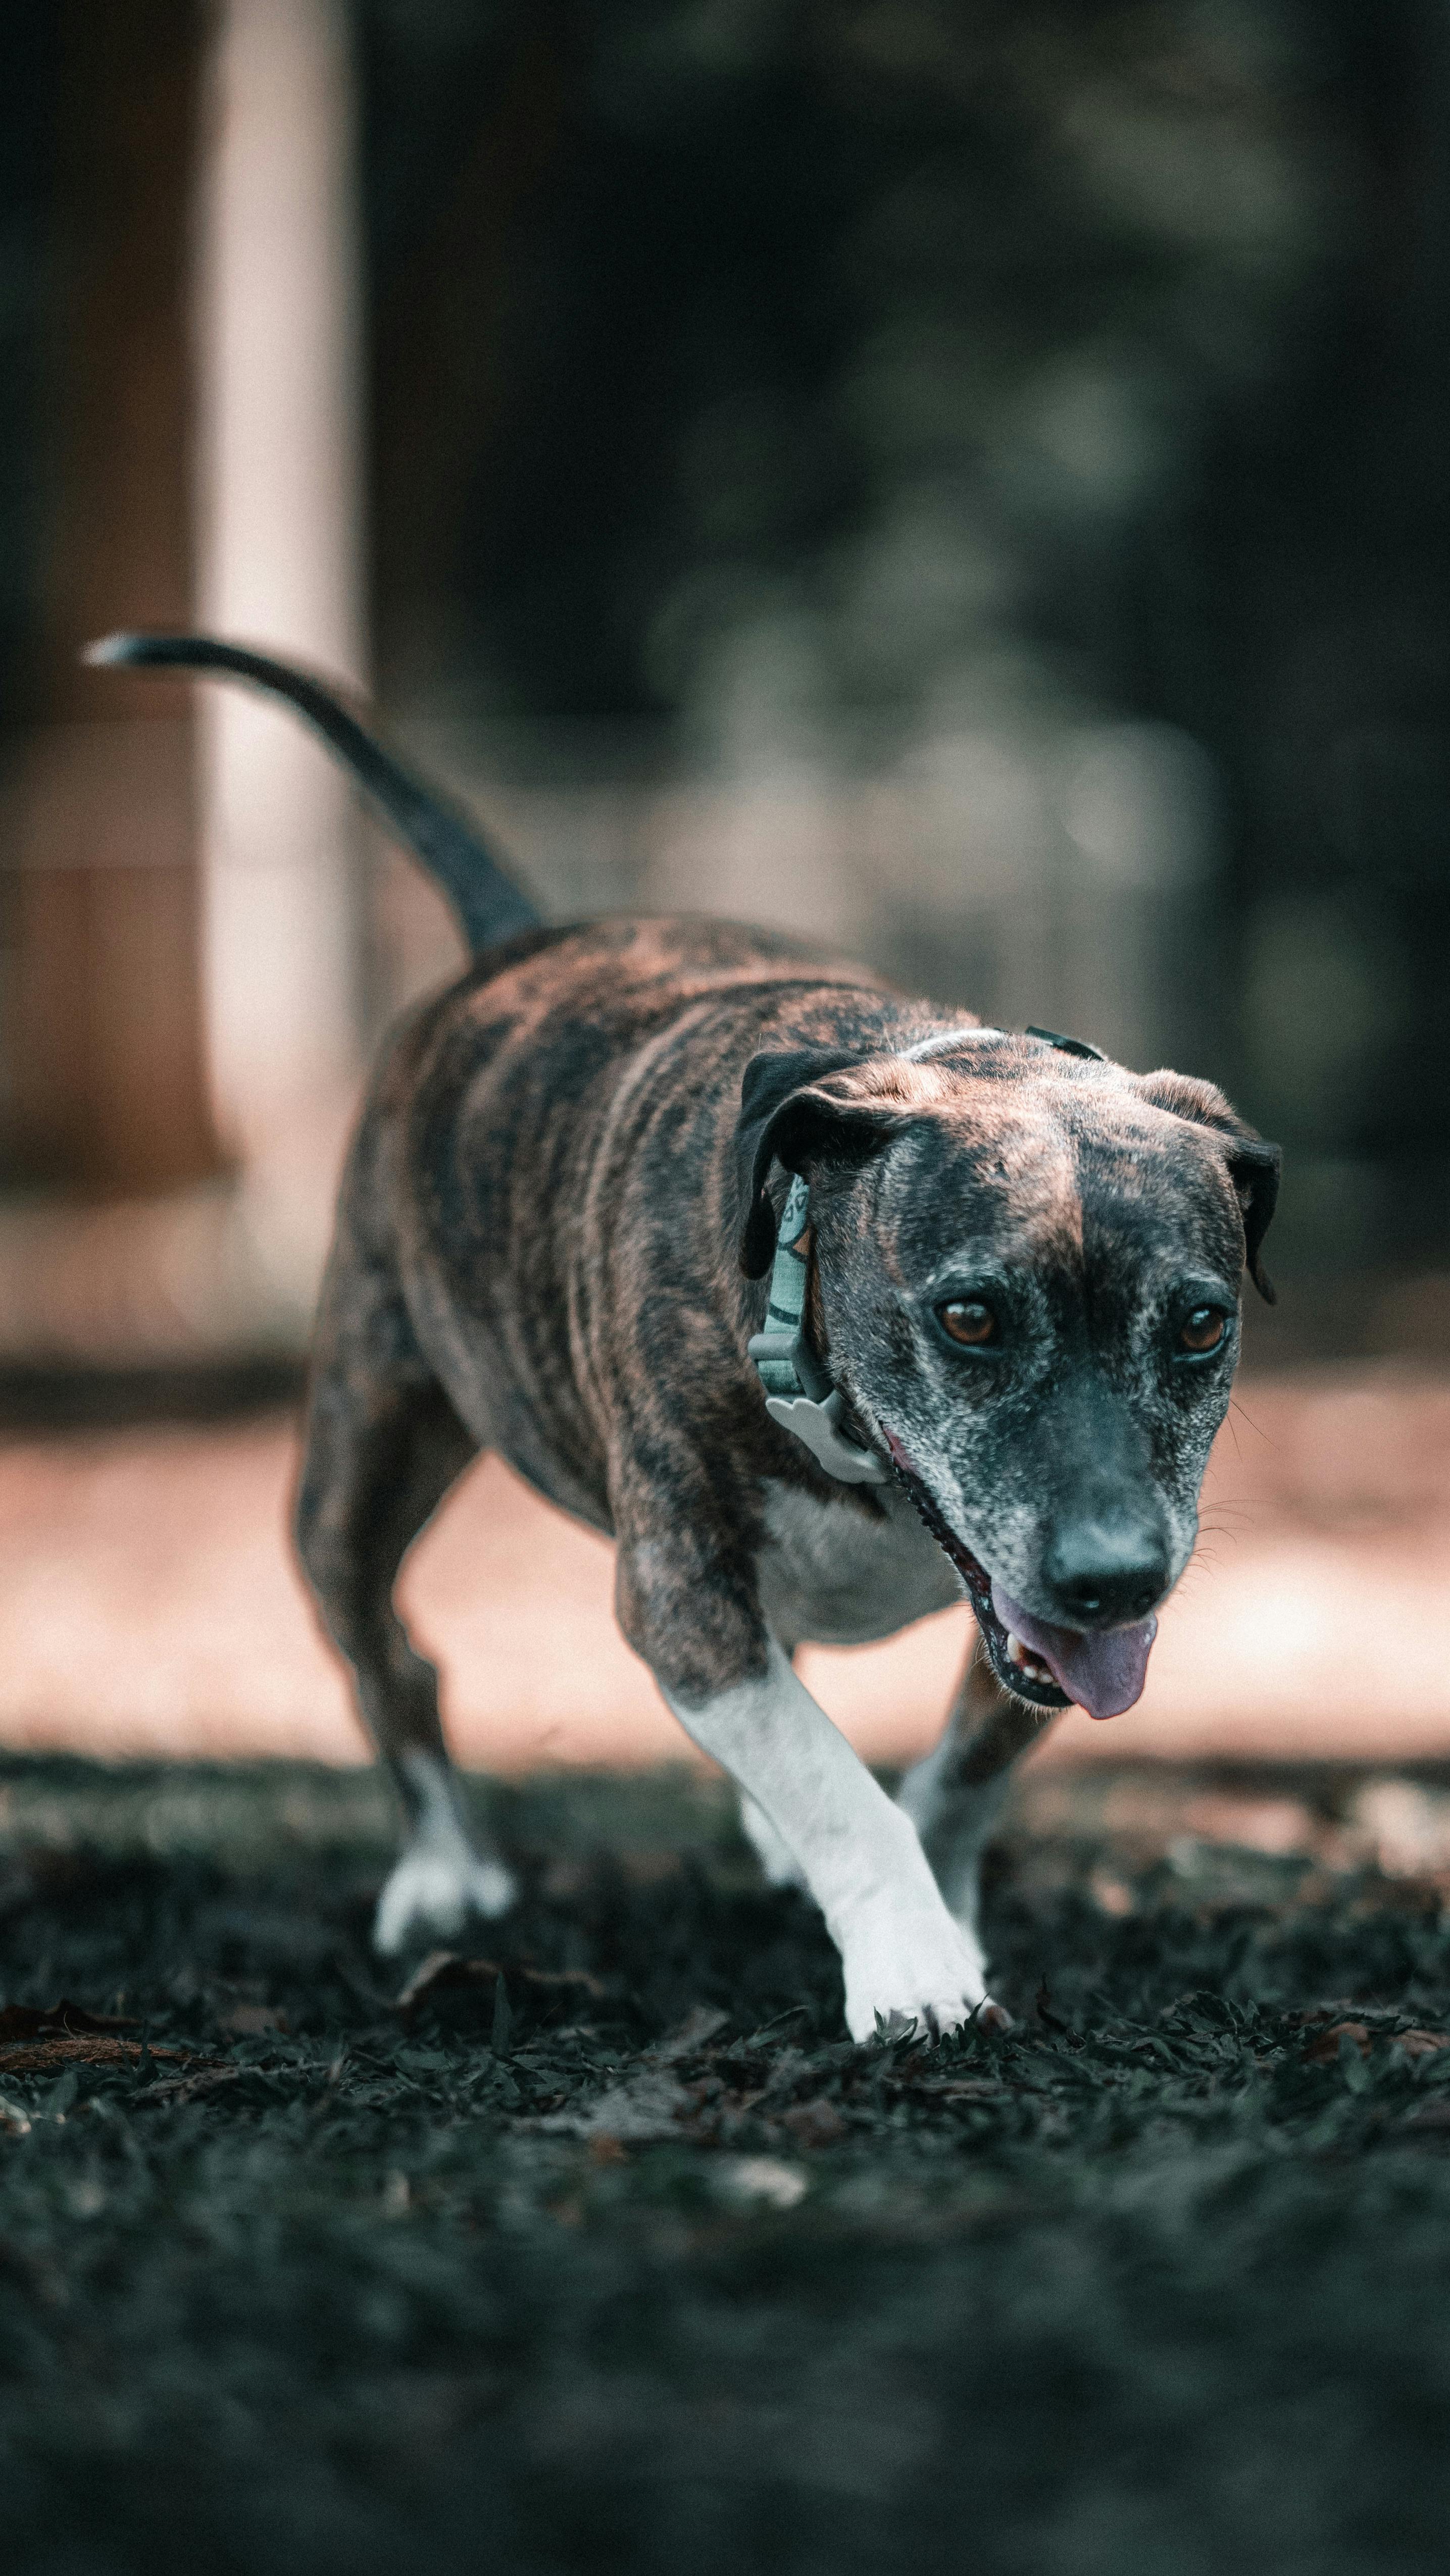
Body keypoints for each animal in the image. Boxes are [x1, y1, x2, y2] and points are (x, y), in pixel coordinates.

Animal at [93, 634, 1282, 2040]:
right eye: (971, 1315)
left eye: (1201, 1321)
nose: (1116, 1575)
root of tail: (520, 939)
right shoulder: (679, 1595)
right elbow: (833, 1784)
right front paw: (913, 1965)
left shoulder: (1039, 1619)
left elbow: (960, 1768)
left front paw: (944, 1908)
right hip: (360, 1451)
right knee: (390, 1652)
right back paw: (441, 1874)